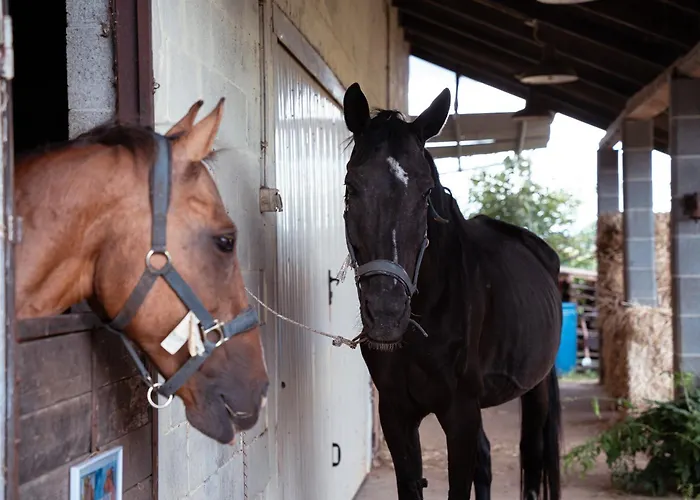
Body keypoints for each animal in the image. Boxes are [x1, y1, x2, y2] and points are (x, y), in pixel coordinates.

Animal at [341, 83, 563, 500]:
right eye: (351, 187)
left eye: (426, 191)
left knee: (533, 454)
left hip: (536, 389)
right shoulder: (396, 414)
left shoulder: (461, 414)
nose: (387, 315)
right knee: (487, 460)